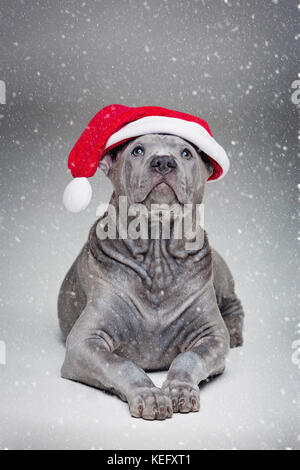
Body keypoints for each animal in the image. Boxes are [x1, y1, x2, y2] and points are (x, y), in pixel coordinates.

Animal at [58, 133, 244, 422]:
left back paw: (234, 330)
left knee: (233, 303)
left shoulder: (212, 337)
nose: (164, 162)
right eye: (137, 150)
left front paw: (180, 389)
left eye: (186, 153)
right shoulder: (83, 342)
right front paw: (149, 395)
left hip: (220, 273)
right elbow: (121, 364)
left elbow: (190, 358)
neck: (158, 257)